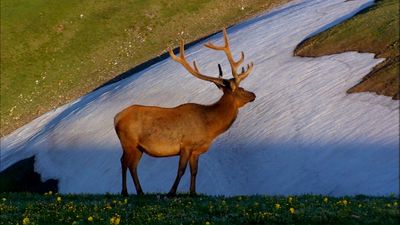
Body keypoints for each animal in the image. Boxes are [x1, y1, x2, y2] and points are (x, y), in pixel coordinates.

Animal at [114, 28, 255, 197]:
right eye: (241, 89)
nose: (253, 95)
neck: (209, 127)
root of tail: (116, 118)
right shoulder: (186, 144)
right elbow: (181, 170)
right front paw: (171, 192)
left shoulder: (196, 151)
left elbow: (194, 171)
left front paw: (193, 192)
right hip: (128, 143)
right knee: (124, 162)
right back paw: (124, 192)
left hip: (138, 148)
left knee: (132, 165)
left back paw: (140, 192)